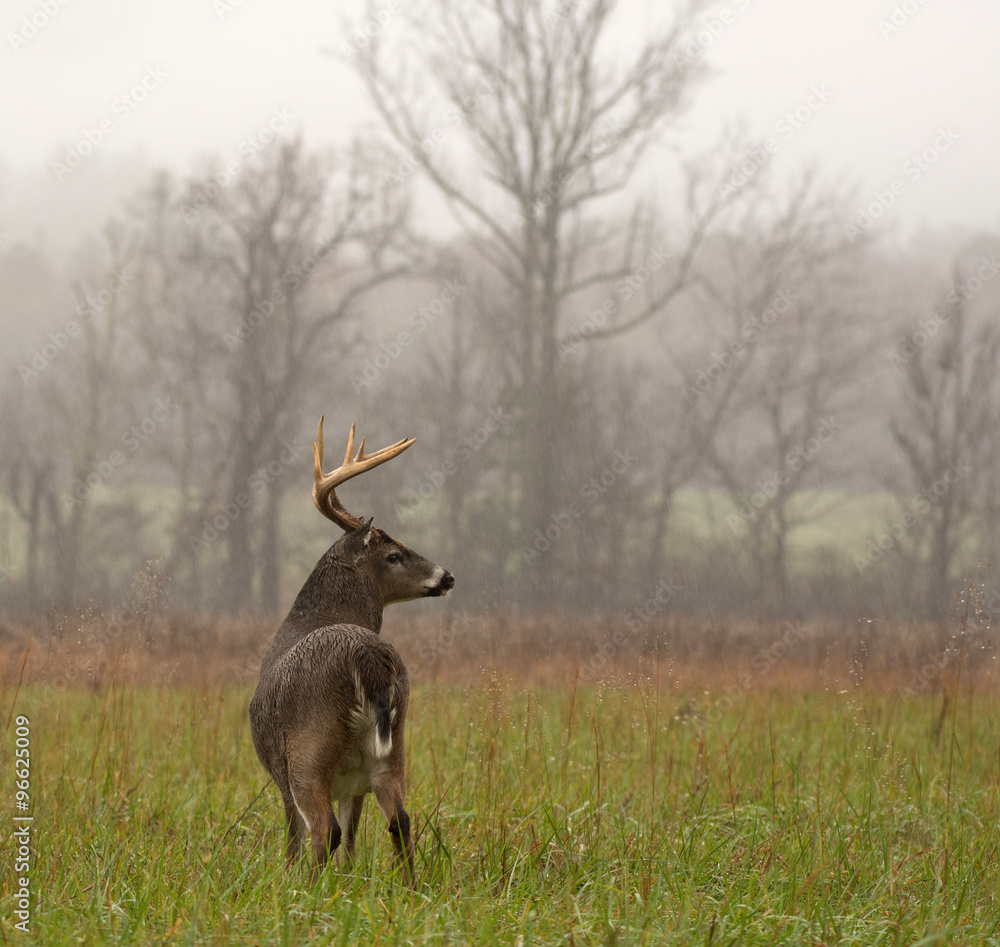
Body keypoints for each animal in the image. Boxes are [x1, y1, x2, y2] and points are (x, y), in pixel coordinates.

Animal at [249, 417, 454, 886]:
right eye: (394, 554)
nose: (447, 576)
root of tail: (367, 658)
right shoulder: (354, 781)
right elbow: (356, 838)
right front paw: (349, 881)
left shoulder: (279, 773)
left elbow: (295, 837)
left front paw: (288, 878)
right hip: (392, 748)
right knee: (400, 819)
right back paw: (408, 888)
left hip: (308, 753)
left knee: (324, 830)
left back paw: (308, 891)